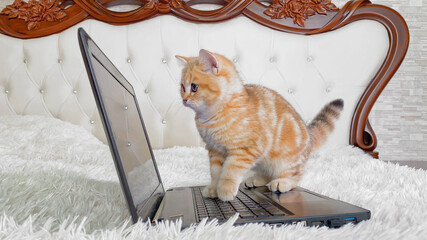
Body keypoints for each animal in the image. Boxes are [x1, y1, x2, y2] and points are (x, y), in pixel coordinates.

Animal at [177, 49, 344, 201]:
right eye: (182, 87)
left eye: (194, 87)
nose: (184, 99)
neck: (211, 116)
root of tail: (309, 135)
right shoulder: (215, 150)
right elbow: (215, 172)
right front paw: (213, 188)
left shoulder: (245, 150)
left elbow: (230, 170)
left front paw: (225, 189)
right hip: (263, 161)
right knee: (268, 172)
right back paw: (256, 179)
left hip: (285, 161)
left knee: (295, 176)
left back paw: (282, 182)